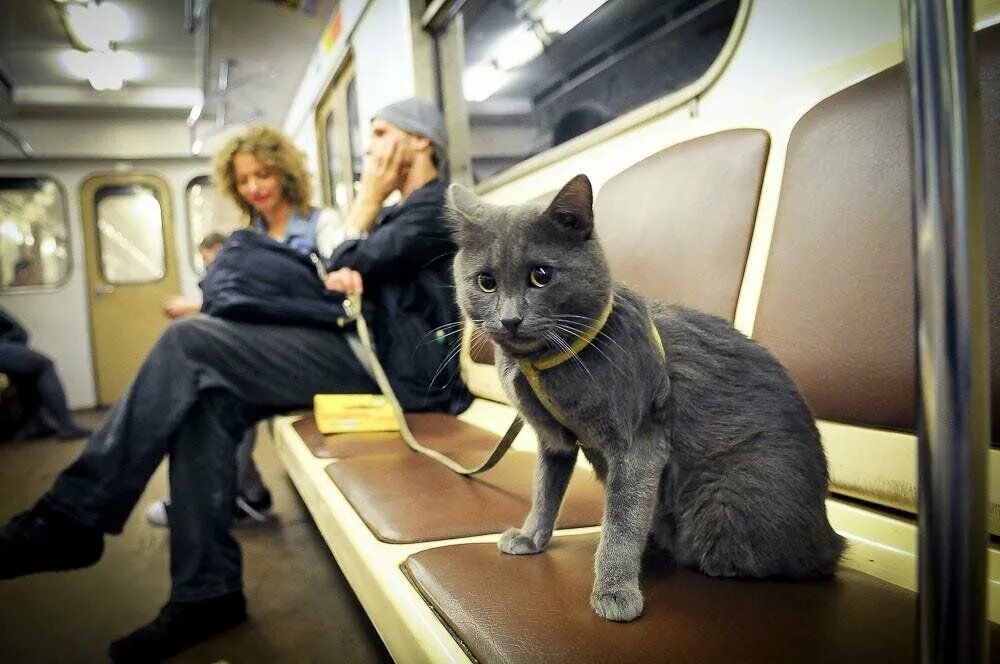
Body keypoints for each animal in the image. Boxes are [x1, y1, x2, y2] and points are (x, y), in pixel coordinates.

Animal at [450, 174, 848, 620]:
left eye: (541, 275)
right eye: (485, 282)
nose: (510, 319)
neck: (543, 363)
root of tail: (830, 536)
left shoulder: (639, 443)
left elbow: (622, 521)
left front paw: (615, 591)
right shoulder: (554, 441)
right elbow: (545, 491)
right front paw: (531, 538)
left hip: (724, 505)